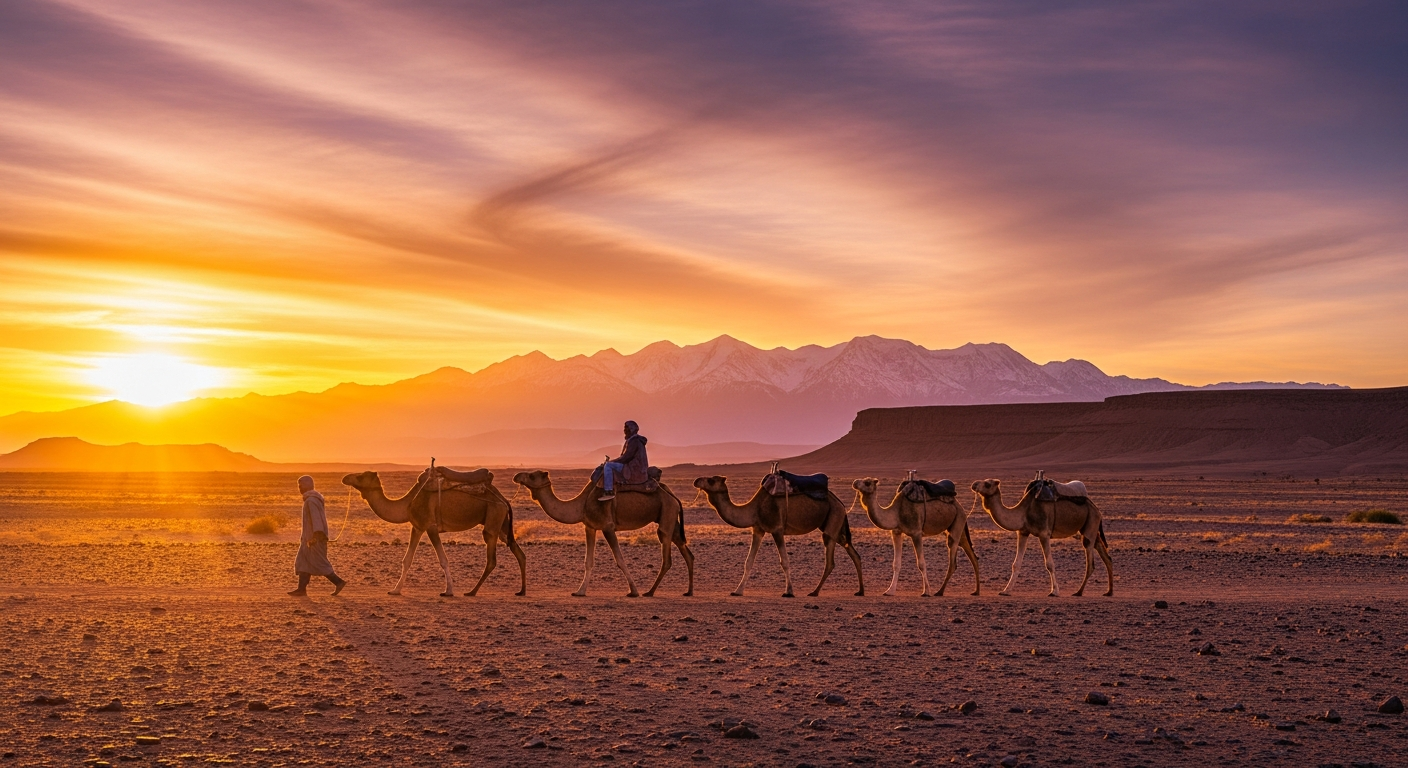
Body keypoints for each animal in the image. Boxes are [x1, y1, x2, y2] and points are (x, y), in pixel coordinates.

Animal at [341, 469, 526, 597]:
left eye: (360, 476)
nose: (345, 478)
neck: (408, 503)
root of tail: (504, 499)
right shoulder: (417, 527)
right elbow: (407, 560)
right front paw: (395, 590)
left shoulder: (431, 526)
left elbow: (443, 560)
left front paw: (448, 591)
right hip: (502, 523)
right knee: (518, 551)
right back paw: (521, 591)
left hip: (493, 516)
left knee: (492, 558)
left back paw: (472, 591)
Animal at [511, 470, 693, 598]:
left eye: (532, 476)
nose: (516, 476)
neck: (582, 504)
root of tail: (672, 495)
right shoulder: (590, 527)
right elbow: (588, 561)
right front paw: (580, 591)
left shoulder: (607, 527)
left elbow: (620, 560)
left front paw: (633, 591)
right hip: (671, 518)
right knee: (686, 551)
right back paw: (689, 591)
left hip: (667, 514)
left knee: (667, 556)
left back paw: (649, 592)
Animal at [692, 476, 864, 598]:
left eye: (711, 480)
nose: (696, 480)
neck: (754, 508)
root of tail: (841, 504)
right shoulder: (758, 529)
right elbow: (749, 562)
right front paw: (737, 591)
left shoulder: (777, 529)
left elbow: (785, 562)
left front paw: (789, 592)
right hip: (836, 527)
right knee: (854, 553)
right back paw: (860, 591)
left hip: (833, 521)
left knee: (830, 561)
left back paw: (814, 592)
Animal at [970, 478, 1113, 597]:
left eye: (987, 484)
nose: (974, 484)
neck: (1025, 511)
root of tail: (1096, 509)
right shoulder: (1023, 532)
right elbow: (1016, 564)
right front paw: (1006, 591)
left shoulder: (1044, 534)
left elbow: (1049, 564)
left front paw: (1054, 591)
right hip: (1090, 528)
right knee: (1106, 556)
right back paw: (1109, 592)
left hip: (1091, 522)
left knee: (1090, 561)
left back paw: (1079, 592)